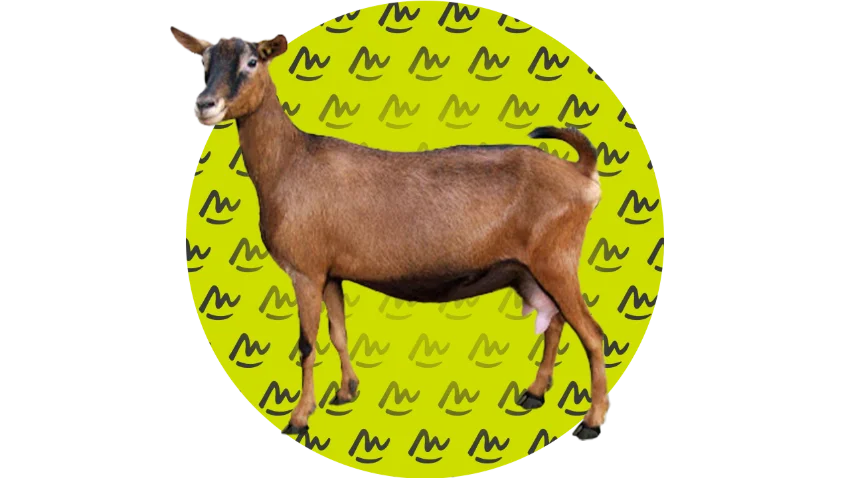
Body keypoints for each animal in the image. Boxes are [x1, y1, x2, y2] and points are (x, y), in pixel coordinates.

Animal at [172, 26, 609, 439]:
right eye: (203, 62)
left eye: (253, 62)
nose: (205, 106)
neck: (291, 163)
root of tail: (582, 173)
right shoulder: (331, 273)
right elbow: (339, 332)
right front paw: (346, 392)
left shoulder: (305, 271)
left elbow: (307, 344)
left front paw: (298, 419)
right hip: (529, 269)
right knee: (555, 321)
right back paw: (534, 394)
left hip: (556, 259)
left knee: (593, 333)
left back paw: (590, 420)